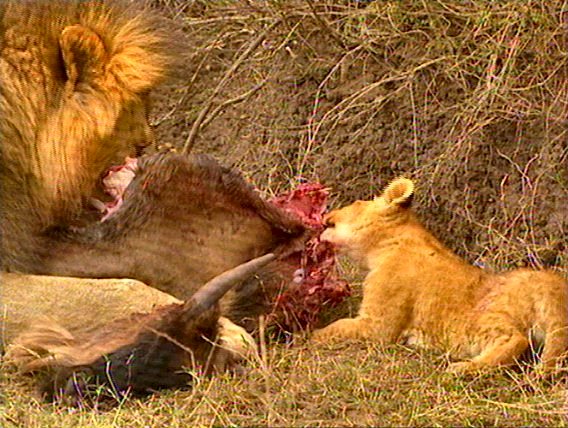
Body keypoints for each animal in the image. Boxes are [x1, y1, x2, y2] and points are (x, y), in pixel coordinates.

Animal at [316, 176, 568, 372]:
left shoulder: (378, 325)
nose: (327, 215)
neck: (388, 243)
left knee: (514, 339)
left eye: (356, 202)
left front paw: (310, 335)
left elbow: (337, 327)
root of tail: (554, 285)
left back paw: (464, 369)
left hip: (483, 316)